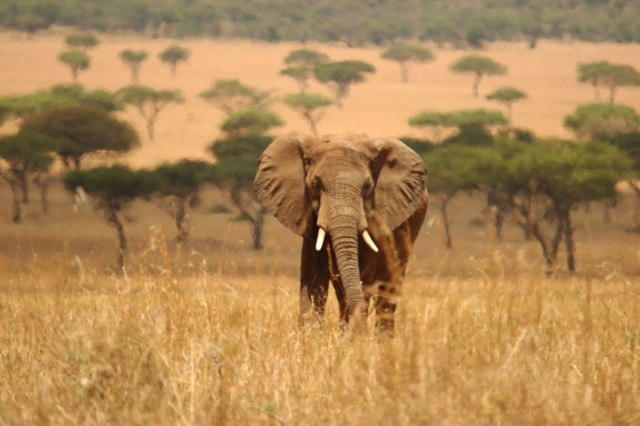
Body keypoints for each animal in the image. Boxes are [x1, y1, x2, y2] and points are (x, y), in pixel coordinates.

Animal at [254, 132, 428, 333]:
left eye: (367, 187)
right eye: (316, 184)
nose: (361, 330)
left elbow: (362, 274)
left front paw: (353, 336)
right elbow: (313, 277)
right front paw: (312, 334)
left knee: (388, 291)